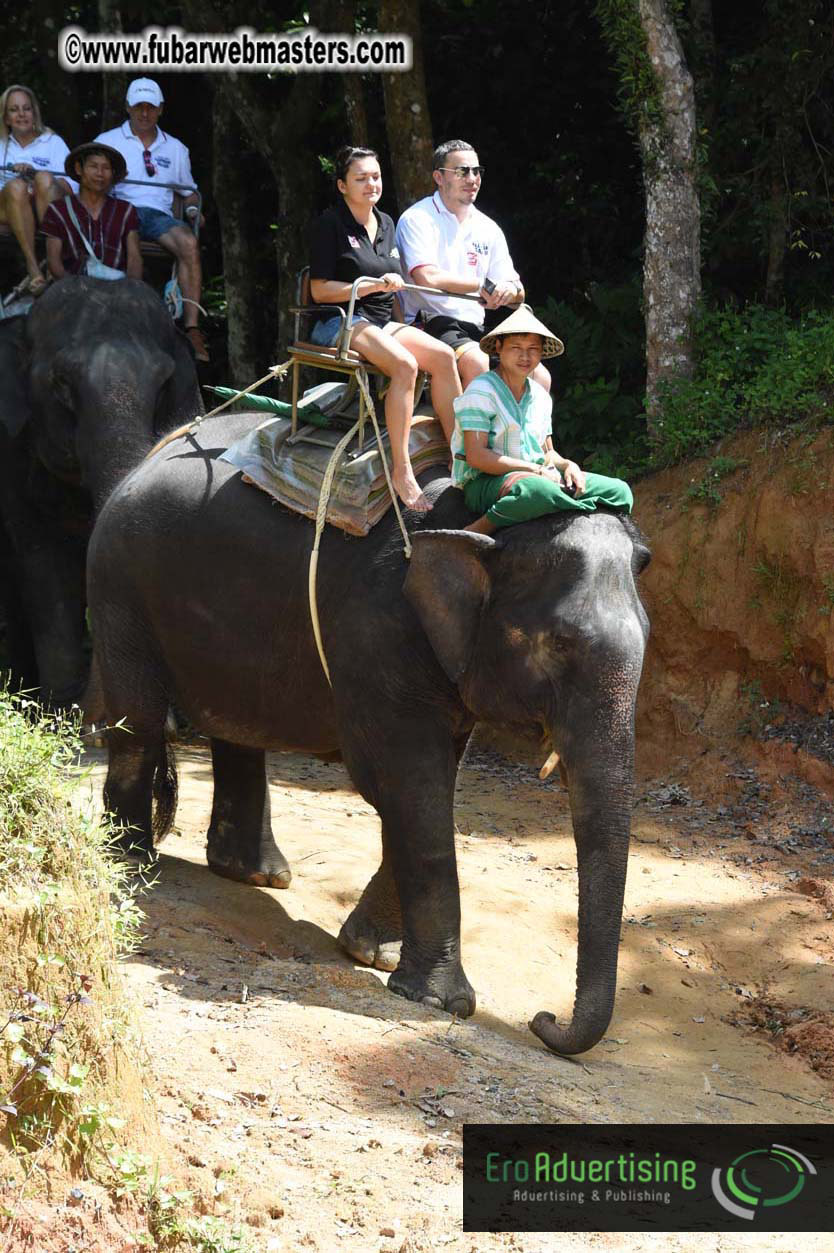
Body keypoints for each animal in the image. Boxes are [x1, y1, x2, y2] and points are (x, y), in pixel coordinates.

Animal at [86, 411, 650, 1055]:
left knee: (234, 724)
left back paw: (256, 874)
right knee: (139, 724)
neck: (482, 529)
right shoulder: (377, 632)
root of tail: (155, 450)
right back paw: (131, 864)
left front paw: (371, 954)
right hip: (119, 587)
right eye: (557, 644)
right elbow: (408, 785)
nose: (543, 1020)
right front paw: (439, 1001)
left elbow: (425, 785)